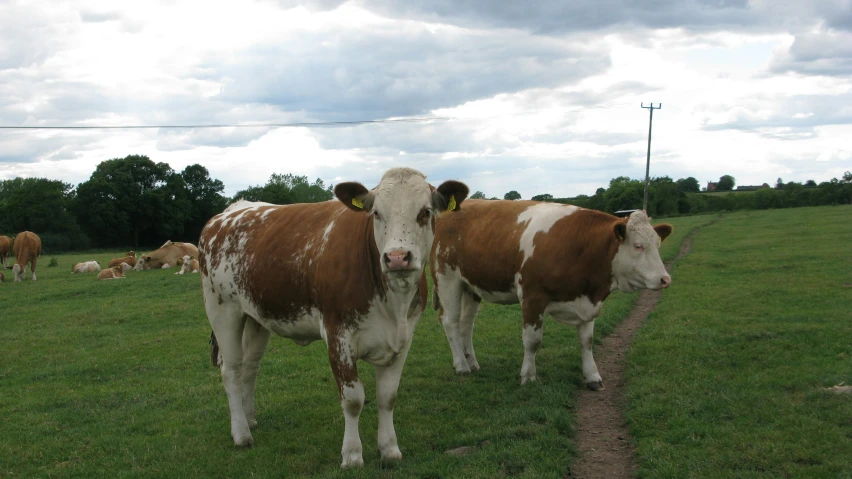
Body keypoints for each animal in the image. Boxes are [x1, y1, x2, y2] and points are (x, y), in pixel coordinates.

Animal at [197, 167, 470, 466]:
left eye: (425, 212)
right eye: (377, 213)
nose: (397, 257)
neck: (393, 304)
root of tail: (230, 212)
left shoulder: (404, 336)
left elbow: (388, 396)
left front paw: (389, 449)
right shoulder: (337, 334)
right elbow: (352, 399)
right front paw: (351, 454)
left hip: (255, 317)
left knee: (249, 367)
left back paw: (249, 419)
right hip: (222, 309)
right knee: (231, 370)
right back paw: (241, 433)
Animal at [432, 201, 672, 392]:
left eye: (657, 244)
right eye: (638, 246)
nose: (665, 279)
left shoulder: (587, 300)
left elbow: (587, 341)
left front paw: (593, 377)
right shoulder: (533, 297)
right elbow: (532, 341)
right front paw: (528, 376)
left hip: (470, 286)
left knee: (466, 324)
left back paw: (472, 362)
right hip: (447, 278)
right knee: (450, 321)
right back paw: (461, 366)